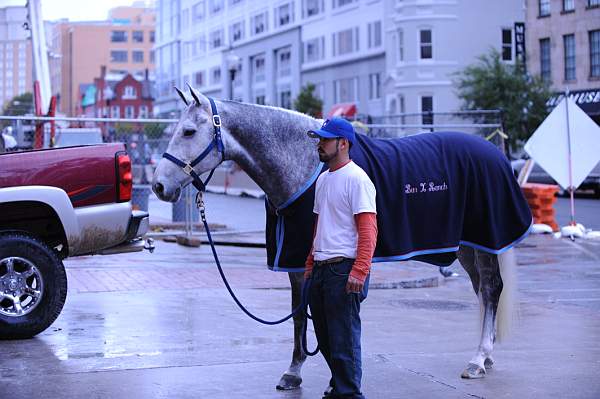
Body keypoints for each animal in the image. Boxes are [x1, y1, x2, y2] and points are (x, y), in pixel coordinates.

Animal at [152, 88, 516, 390]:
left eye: (188, 131)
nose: (158, 186)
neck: (305, 164)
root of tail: (495, 153)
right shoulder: (298, 263)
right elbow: (301, 315)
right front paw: (294, 373)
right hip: (467, 246)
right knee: (482, 291)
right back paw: (487, 356)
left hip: (486, 241)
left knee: (491, 289)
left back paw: (478, 359)